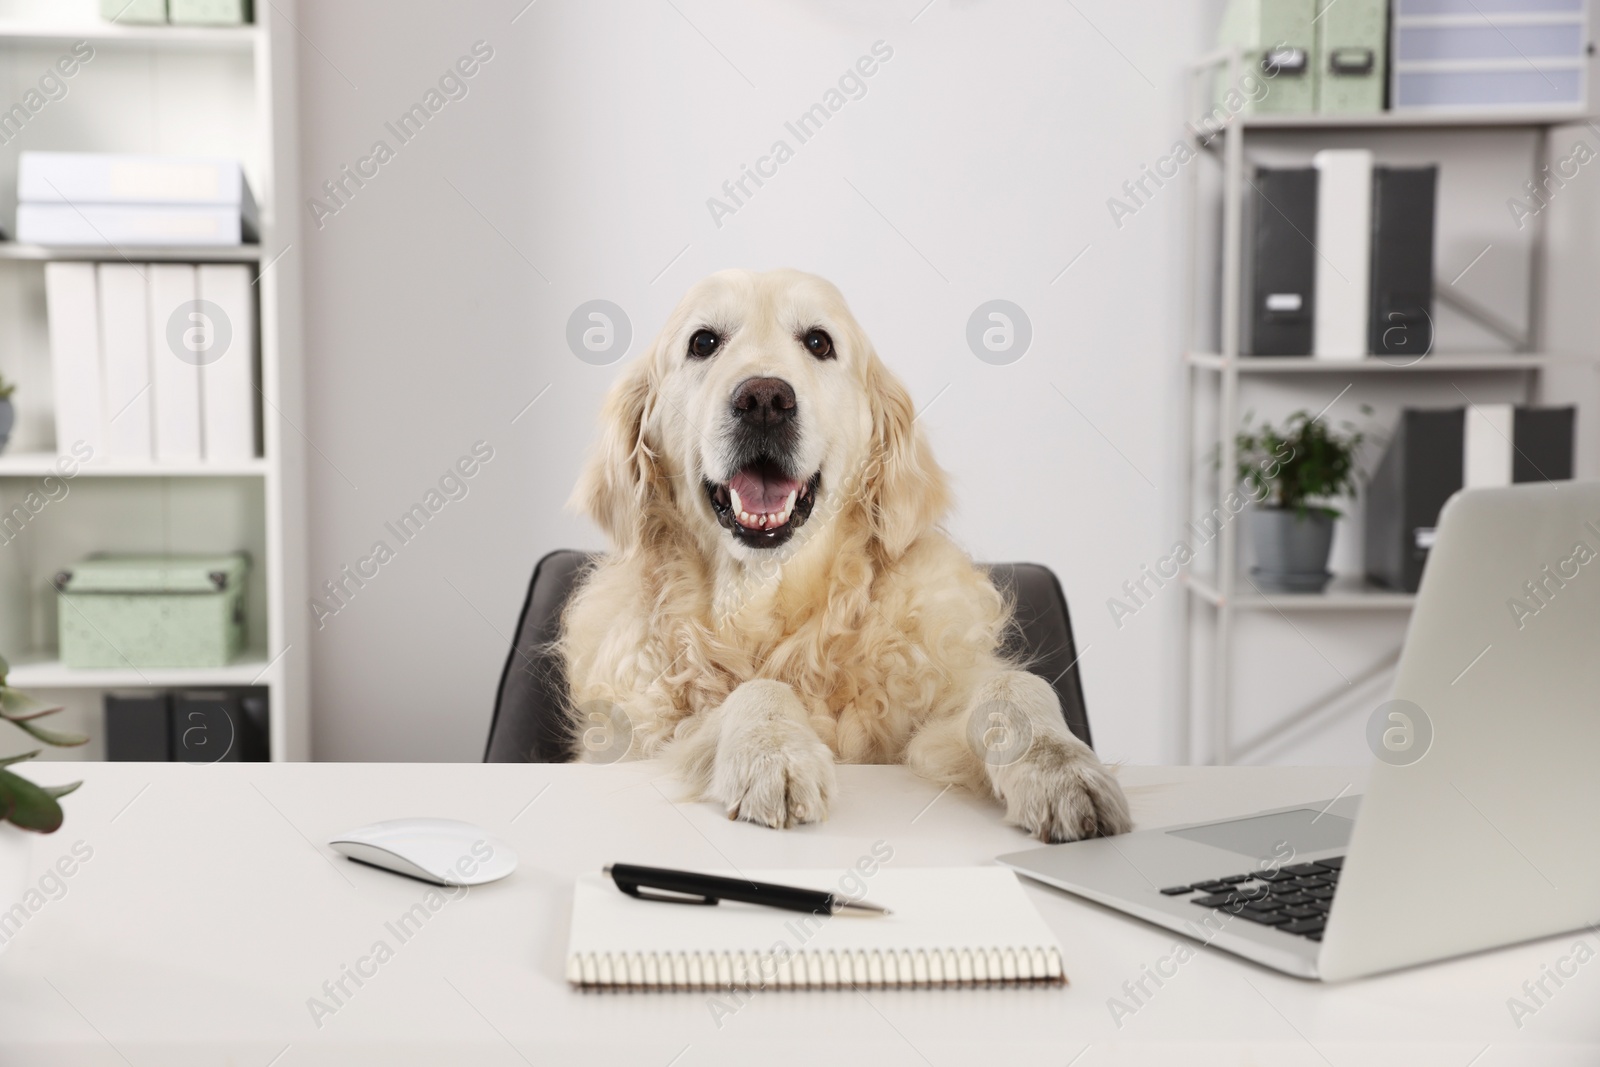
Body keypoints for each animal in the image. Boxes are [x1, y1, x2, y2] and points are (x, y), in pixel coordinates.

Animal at [556, 267, 1132, 844]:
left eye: (818, 342)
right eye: (703, 343)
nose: (764, 400)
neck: (766, 595)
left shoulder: (931, 720)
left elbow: (1016, 686)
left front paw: (1061, 768)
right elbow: (758, 688)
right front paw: (774, 755)